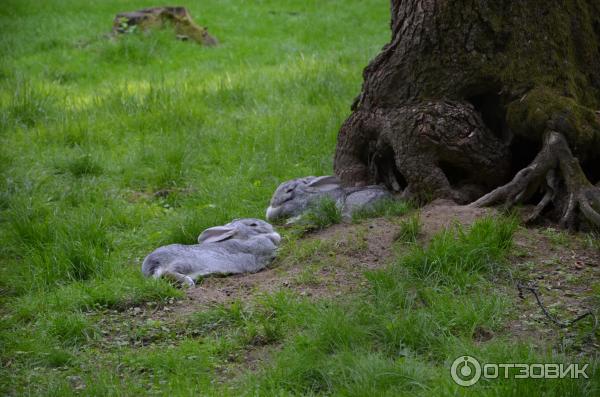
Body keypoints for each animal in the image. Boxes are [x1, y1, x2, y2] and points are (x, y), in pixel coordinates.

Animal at [142, 218, 282, 286]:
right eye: (253, 225)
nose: (270, 226)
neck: (244, 237)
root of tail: (154, 263)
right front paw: (275, 236)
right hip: (183, 263)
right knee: (169, 272)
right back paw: (188, 283)